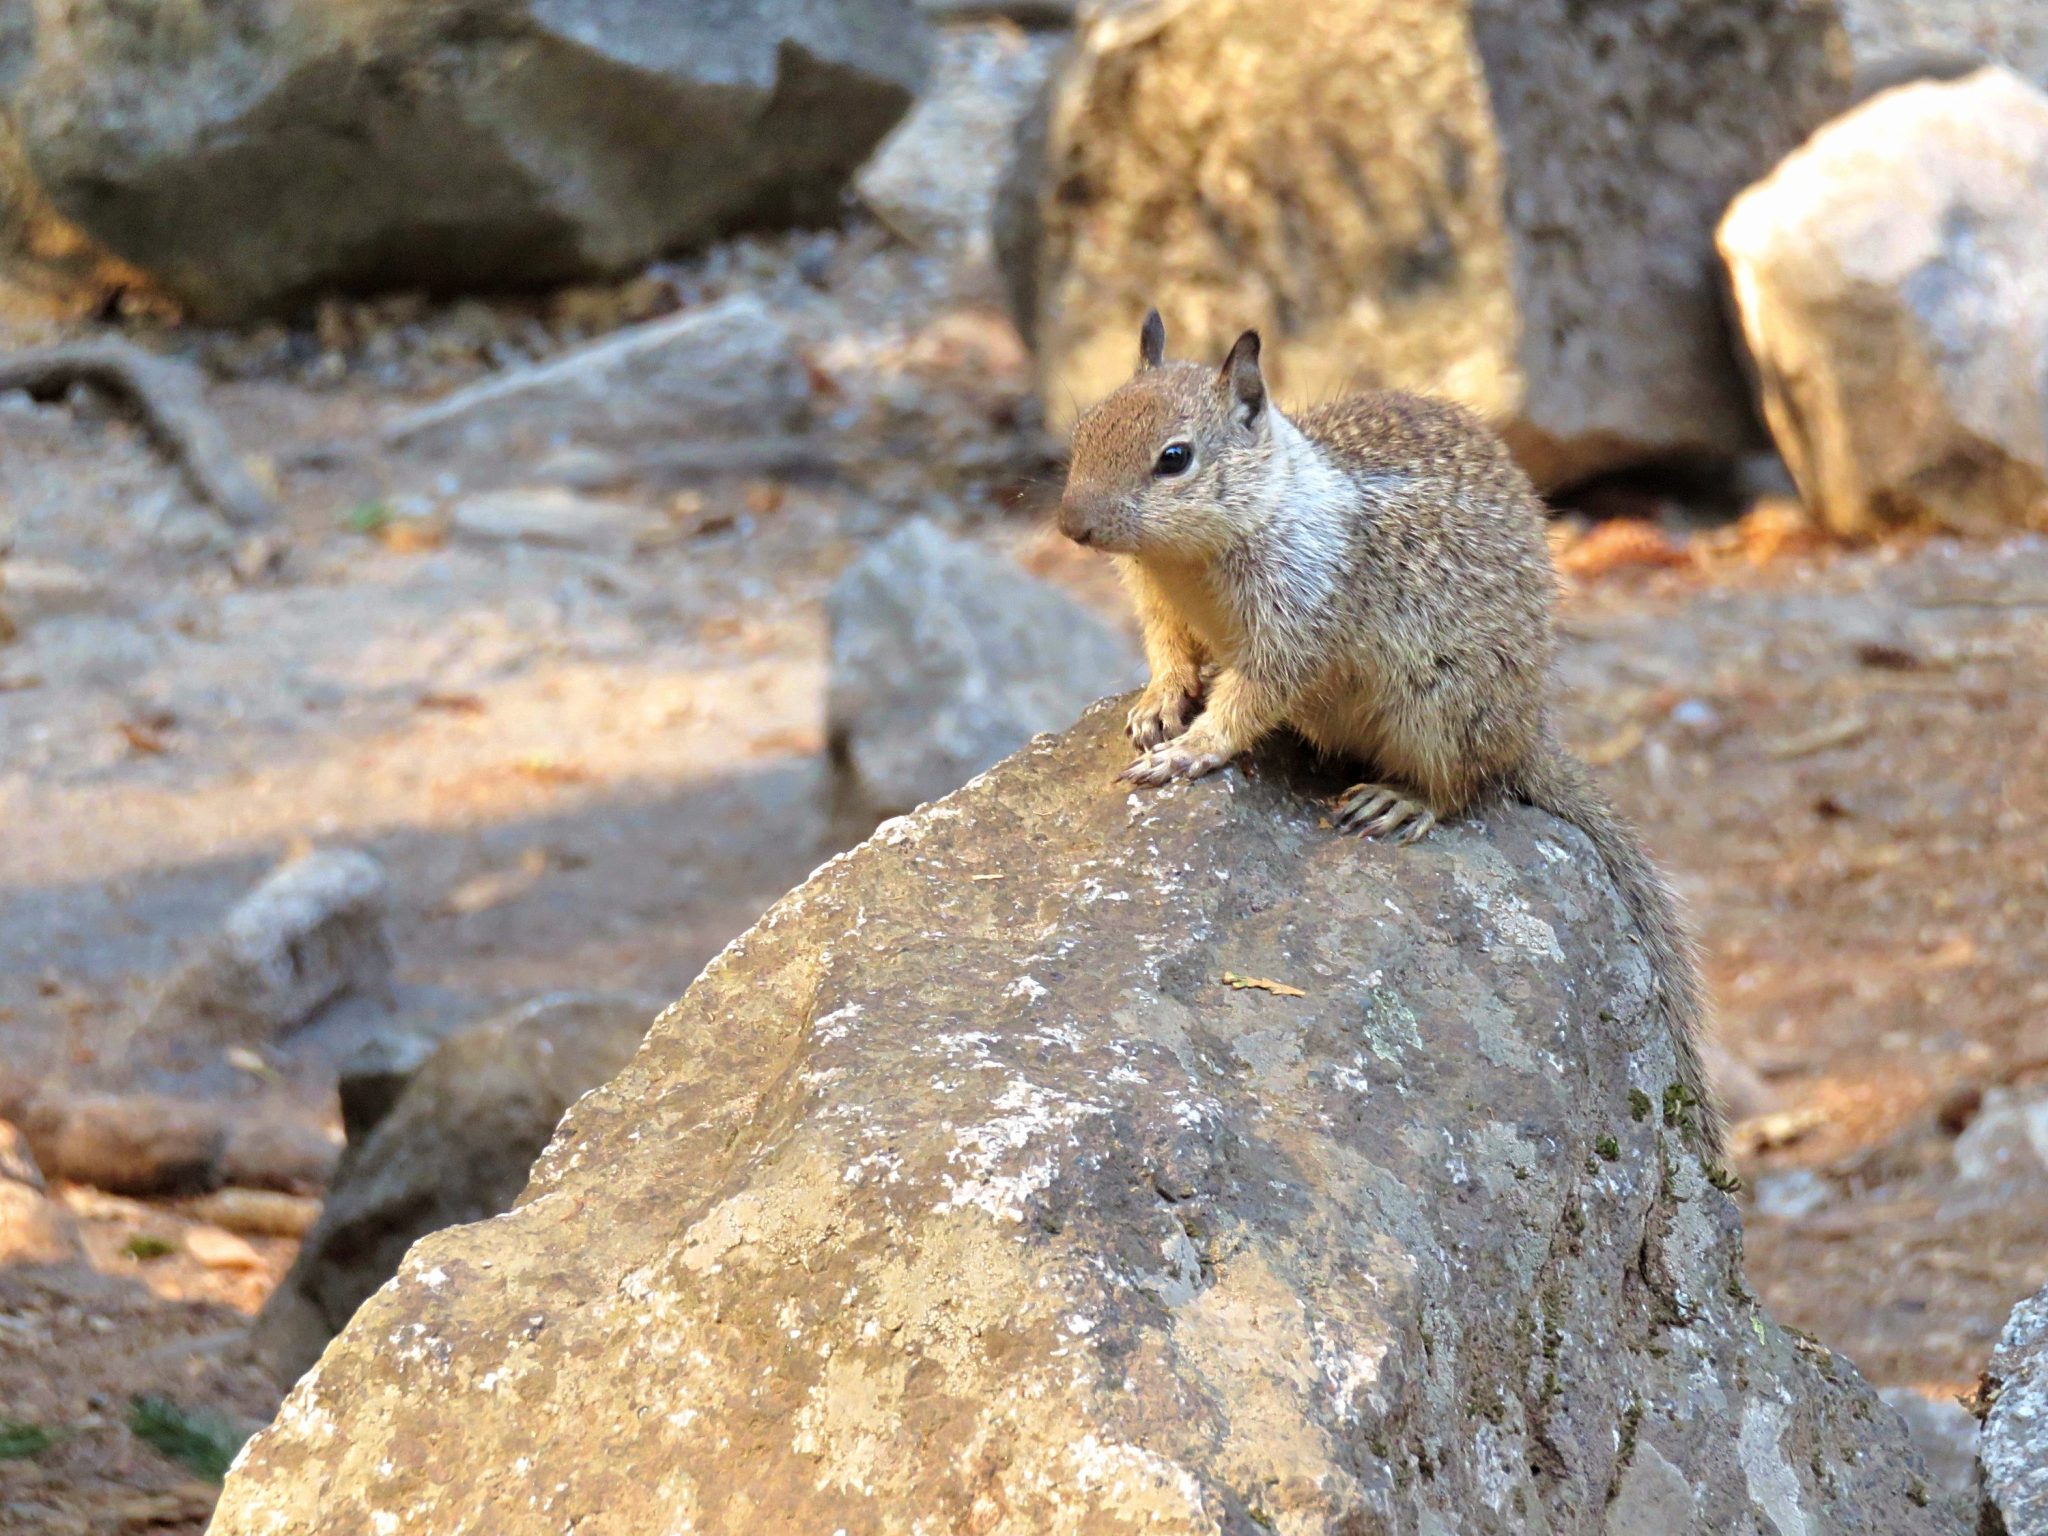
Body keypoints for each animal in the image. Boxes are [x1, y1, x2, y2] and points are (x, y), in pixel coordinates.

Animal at [1064, 309, 1720, 1155]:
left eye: (1173, 459)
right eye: (1084, 428)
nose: (1071, 525)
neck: (1192, 558)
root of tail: (1530, 730)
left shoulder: (1297, 624)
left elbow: (1251, 699)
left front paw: (1191, 750)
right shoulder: (1159, 606)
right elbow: (1170, 655)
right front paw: (1157, 705)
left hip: (1440, 710)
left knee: (1465, 789)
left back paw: (1401, 801)